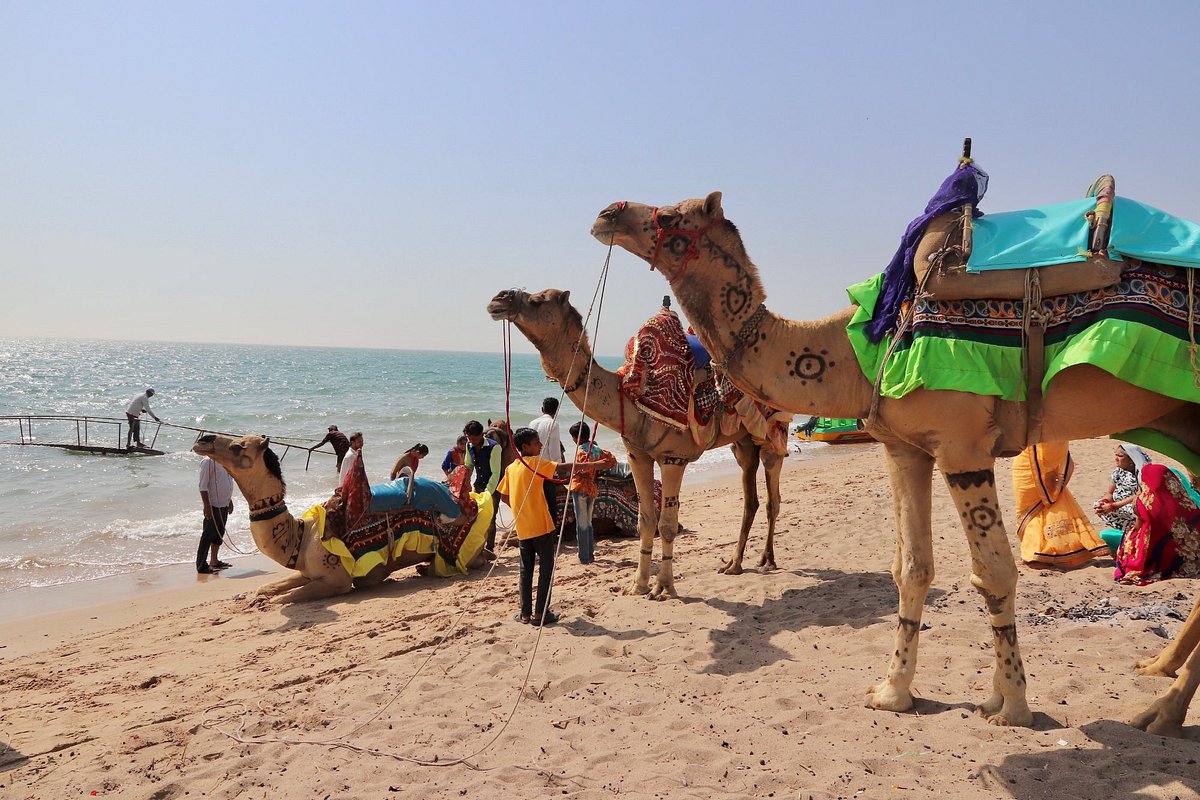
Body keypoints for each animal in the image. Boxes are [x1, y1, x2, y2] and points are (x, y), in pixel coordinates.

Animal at [193, 433, 490, 603]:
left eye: (238, 446)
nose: (203, 439)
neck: (300, 537)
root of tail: (472, 501)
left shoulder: (336, 579)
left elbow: (285, 598)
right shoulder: (307, 570)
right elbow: (269, 587)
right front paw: (253, 596)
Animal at [487, 287, 786, 598]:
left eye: (537, 301)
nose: (499, 298)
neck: (629, 397)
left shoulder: (673, 457)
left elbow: (667, 524)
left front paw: (663, 587)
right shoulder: (638, 453)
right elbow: (646, 522)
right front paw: (638, 585)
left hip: (772, 431)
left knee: (772, 496)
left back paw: (767, 560)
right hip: (743, 442)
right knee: (750, 496)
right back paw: (733, 564)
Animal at [591, 192, 1200, 734]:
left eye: (673, 215)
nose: (607, 212)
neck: (857, 345)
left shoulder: (962, 444)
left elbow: (994, 572)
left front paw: (1011, 706)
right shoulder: (906, 447)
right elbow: (912, 568)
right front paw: (894, 692)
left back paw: (1160, 712)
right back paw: (1159, 687)